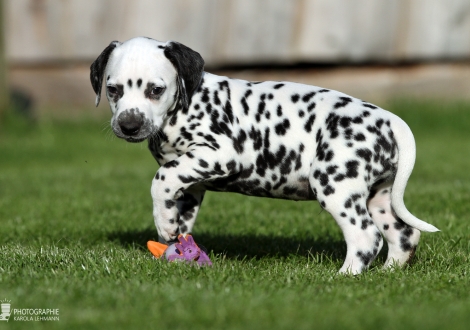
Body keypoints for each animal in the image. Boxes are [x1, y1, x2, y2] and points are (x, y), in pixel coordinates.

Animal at [90, 36, 438, 274]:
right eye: (113, 89)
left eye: (155, 90)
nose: (129, 125)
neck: (189, 100)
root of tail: (389, 119)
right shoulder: (191, 184)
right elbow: (180, 215)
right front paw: (174, 238)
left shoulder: (218, 154)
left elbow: (160, 179)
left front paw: (163, 226)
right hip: (379, 197)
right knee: (404, 234)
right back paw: (388, 272)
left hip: (335, 186)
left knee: (366, 237)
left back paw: (344, 277)